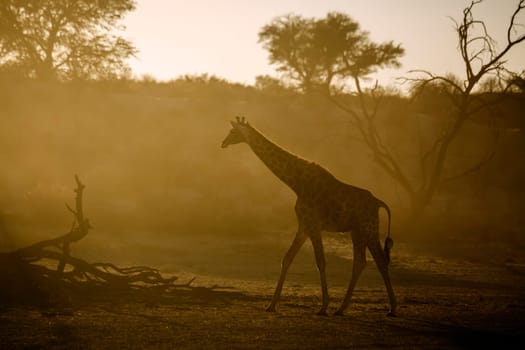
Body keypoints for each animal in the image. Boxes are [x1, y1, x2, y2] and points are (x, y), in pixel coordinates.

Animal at [219, 116, 396, 316]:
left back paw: (392, 308)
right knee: (360, 262)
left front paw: (323, 306)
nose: (223, 143)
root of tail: (379, 203)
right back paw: (341, 309)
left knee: (380, 260)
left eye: (233, 131)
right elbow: (287, 258)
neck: (296, 183)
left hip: (368, 228)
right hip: (356, 231)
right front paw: (271, 305)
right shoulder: (303, 225)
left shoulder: (313, 224)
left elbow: (321, 261)